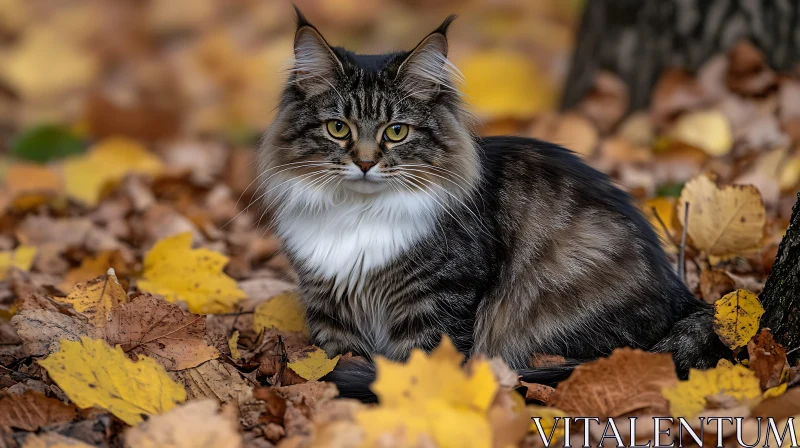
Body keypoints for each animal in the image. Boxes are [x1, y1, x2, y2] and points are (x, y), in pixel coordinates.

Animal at [260, 7, 728, 400]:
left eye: (396, 132)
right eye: (338, 128)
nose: (364, 162)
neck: (358, 217)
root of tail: (689, 302)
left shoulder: (438, 299)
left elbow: (421, 365)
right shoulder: (329, 305)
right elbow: (336, 360)